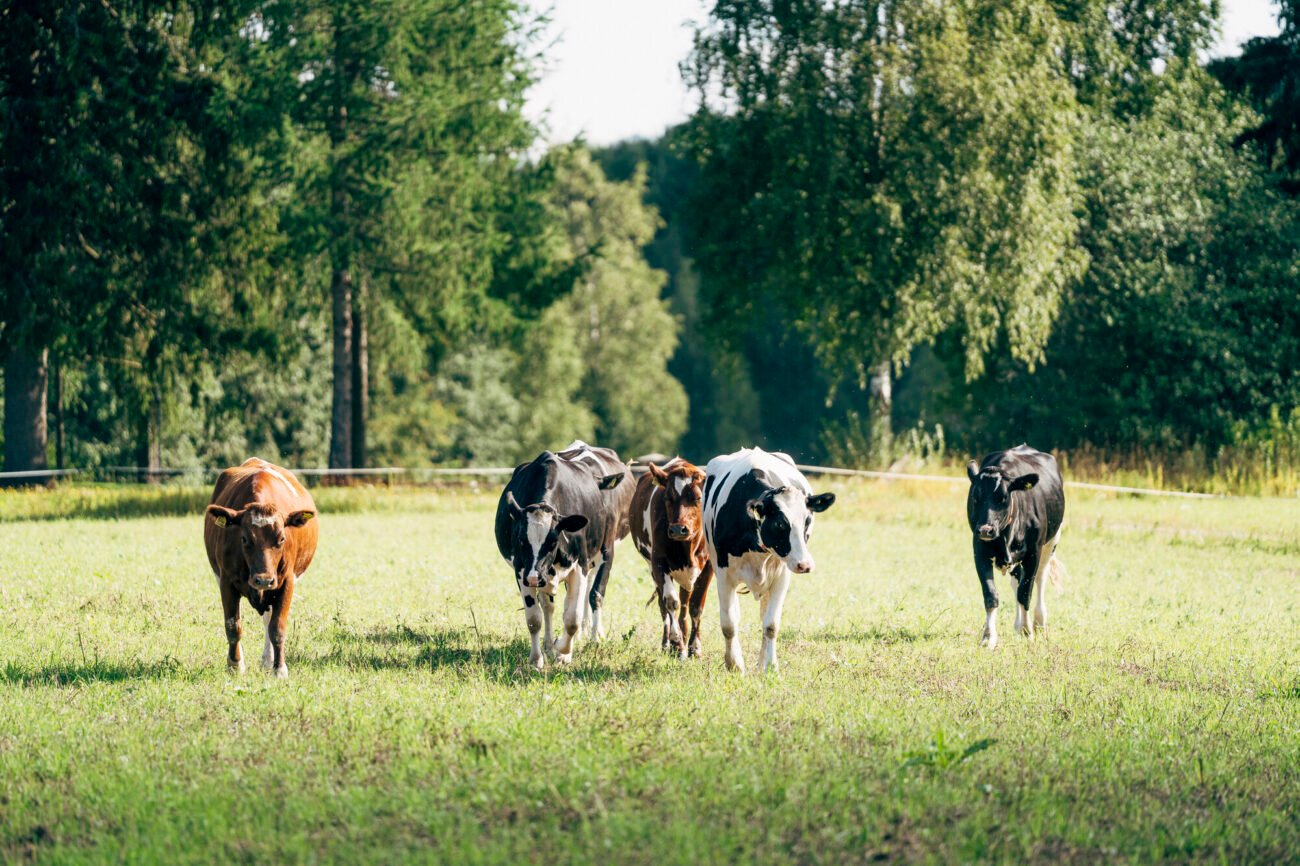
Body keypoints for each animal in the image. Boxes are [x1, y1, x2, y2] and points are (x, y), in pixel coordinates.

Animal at [204, 458, 318, 678]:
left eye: (281, 539)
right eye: (244, 539)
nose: (263, 579)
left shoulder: (286, 582)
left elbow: (277, 628)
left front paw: (279, 668)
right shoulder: (226, 581)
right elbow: (233, 625)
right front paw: (235, 664)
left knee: (268, 620)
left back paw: (268, 659)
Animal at [495, 441, 633, 670]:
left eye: (553, 542)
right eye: (521, 540)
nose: (535, 578)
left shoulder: (585, 564)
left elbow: (574, 616)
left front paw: (565, 652)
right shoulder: (522, 570)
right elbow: (534, 619)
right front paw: (538, 658)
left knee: (587, 596)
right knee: (548, 606)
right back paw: (550, 644)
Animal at [629, 457, 712, 658]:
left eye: (698, 498)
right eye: (668, 498)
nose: (677, 529)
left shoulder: (709, 566)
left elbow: (696, 606)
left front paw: (694, 647)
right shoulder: (659, 563)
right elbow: (671, 603)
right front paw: (677, 643)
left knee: (685, 603)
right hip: (652, 568)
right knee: (664, 604)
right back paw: (668, 643)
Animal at [702, 448, 836, 674]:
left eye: (807, 521)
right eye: (780, 524)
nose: (805, 565)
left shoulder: (782, 575)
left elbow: (771, 624)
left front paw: (770, 667)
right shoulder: (723, 575)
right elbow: (729, 623)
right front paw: (734, 664)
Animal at [966, 444, 1065, 649]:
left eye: (1003, 498)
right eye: (975, 497)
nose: (985, 530)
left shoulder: (1033, 553)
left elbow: (1025, 593)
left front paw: (1027, 633)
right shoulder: (979, 551)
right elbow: (991, 595)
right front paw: (988, 637)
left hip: (1051, 543)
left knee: (1040, 579)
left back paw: (1039, 623)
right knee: (1016, 580)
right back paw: (1019, 624)